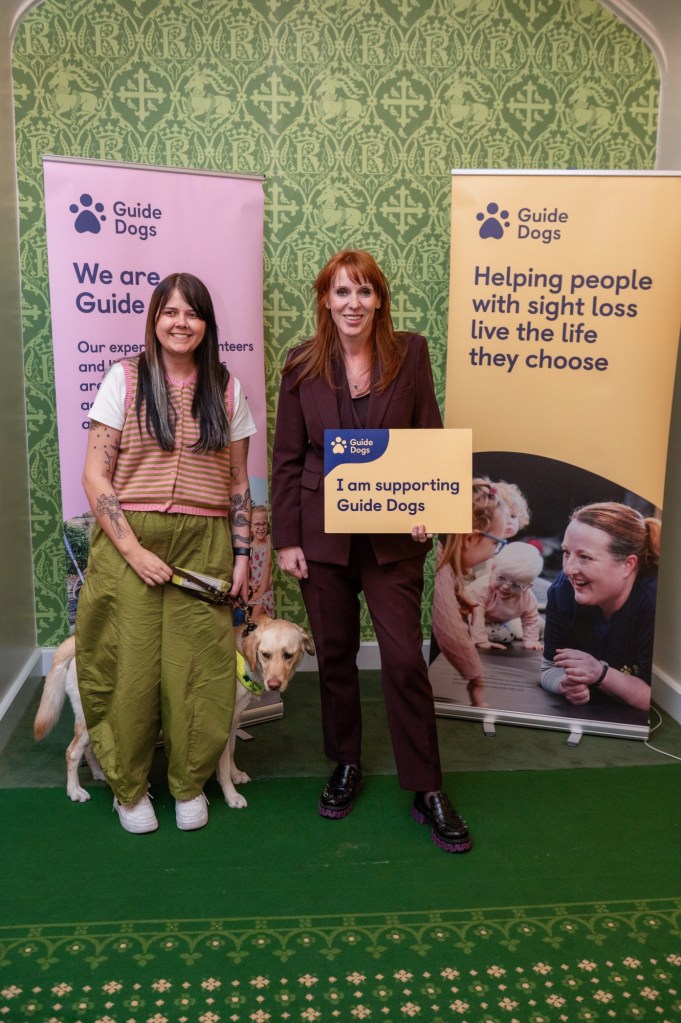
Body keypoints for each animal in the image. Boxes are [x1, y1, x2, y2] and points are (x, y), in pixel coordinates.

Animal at [34, 618, 314, 807]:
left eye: (288, 655)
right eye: (265, 655)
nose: (275, 685)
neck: (243, 658)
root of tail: (75, 642)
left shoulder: (234, 721)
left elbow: (232, 752)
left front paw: (236, 774)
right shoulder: (219, 722)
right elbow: (222, 764)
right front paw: (231, 795)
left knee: (90, 748)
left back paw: (100, 774)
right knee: (72, 752)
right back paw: (74, 791)